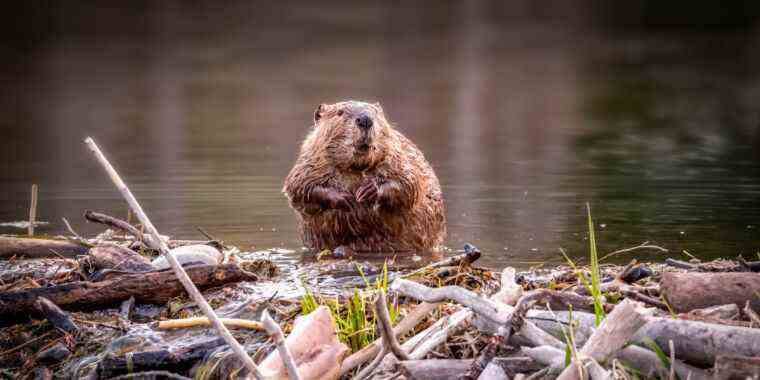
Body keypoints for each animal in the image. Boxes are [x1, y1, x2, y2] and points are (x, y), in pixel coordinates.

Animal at [284, 101, 446, 252]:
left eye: (375, 112)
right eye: (340, 112)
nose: (365, 119)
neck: (356, 168)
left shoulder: (399, 155)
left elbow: (410, 182)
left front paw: (368, 191)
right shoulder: (309, 161)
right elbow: (299, 187)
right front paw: (344, 198)